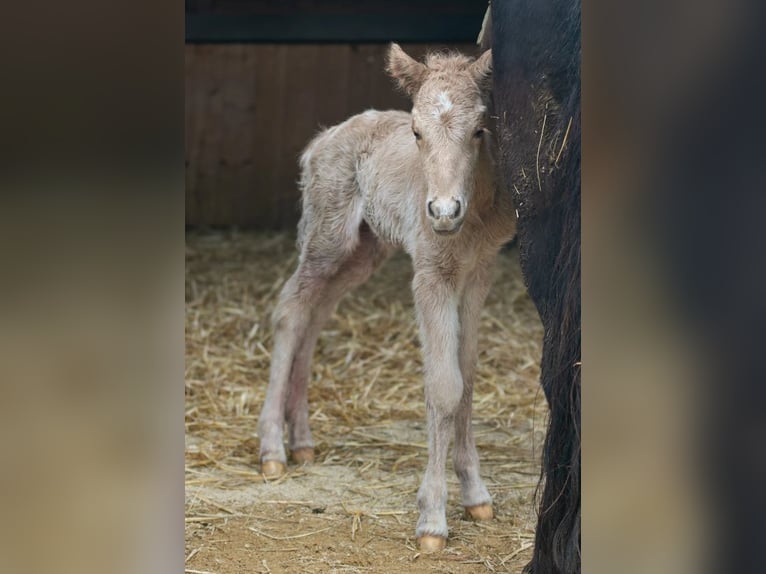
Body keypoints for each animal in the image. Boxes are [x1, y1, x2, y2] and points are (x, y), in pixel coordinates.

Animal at [256, 42, 516, 552]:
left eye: (480, 130)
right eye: (416, 131)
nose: (442, 212)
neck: (470, 219)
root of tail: (321, 141)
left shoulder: (479, 271)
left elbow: (468, 377)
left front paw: (475, 496)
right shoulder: (431, 273)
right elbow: (445, 386)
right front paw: (432, 518)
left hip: (365, 249)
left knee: (317, 312)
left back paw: (302, 441)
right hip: (327, 235)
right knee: (291, 308)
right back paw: (273, 448)